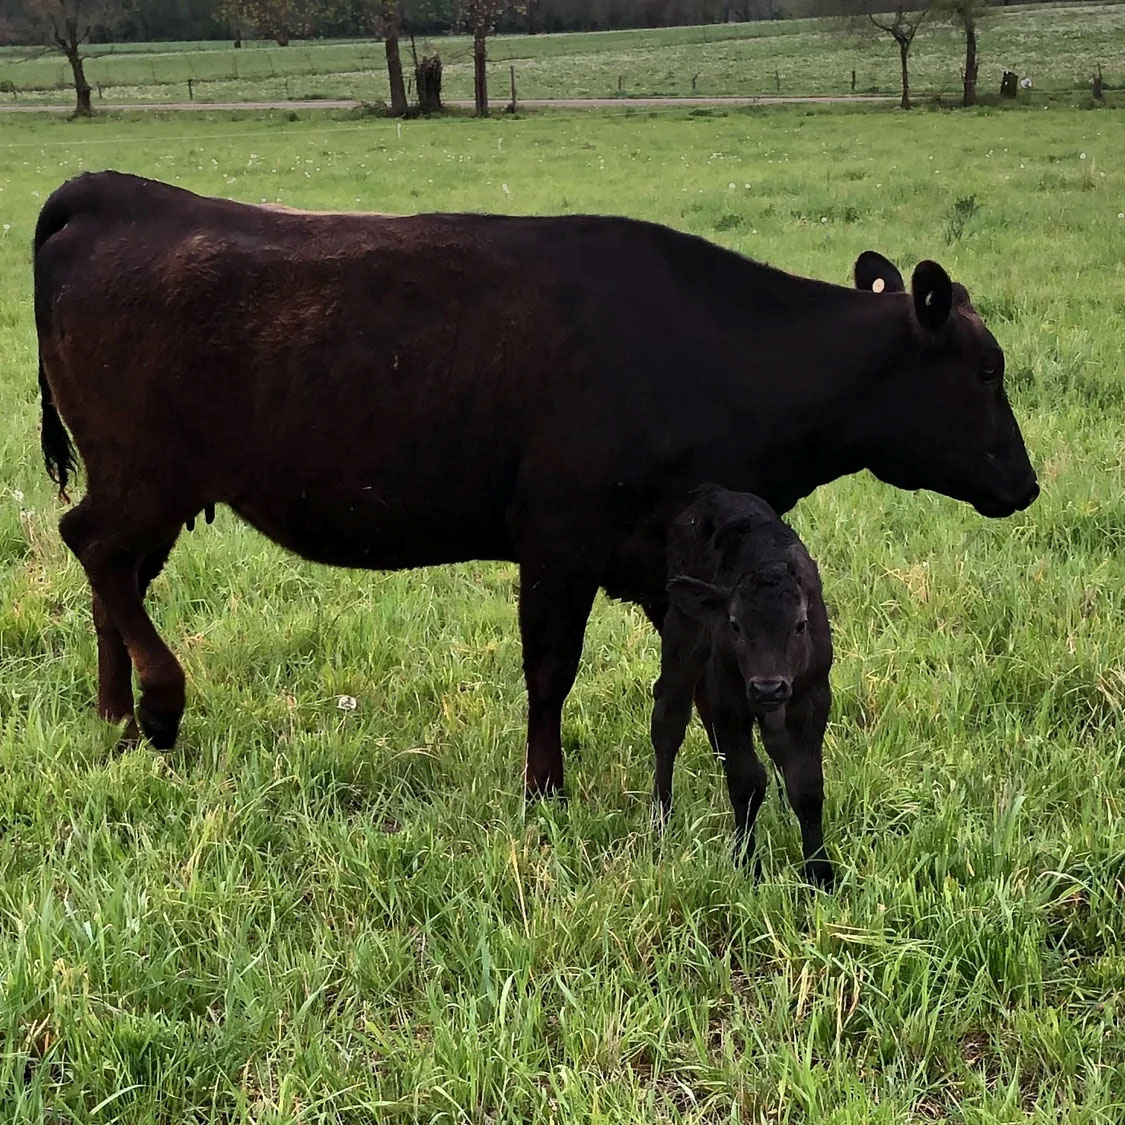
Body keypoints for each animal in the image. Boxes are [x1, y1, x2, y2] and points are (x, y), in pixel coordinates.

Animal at [32, 171, 1038, 798]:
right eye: (987, 369)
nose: (1027, 484)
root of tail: (112, 193)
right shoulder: (560, 535)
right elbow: (550, 668)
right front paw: (544, 787)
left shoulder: (667, 559)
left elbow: (693, 681)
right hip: (145, 474)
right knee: (93, 547)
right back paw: (159, 705)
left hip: (150, 488)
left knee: (113, 574)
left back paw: (117, 718)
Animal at [653, 485, 833, 886]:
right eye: (734, 624)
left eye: (799, 625)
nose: (768, 687)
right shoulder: (730, 703)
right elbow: (746, 782)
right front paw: (748, 864)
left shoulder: (813, 700)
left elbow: (807, 786)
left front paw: (819, 874)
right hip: (681, 637)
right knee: (668, 720)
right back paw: (660, 820)